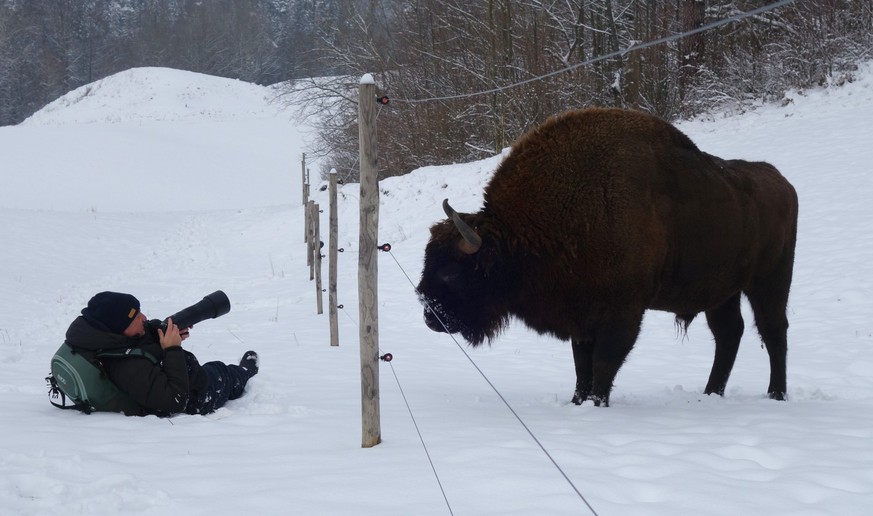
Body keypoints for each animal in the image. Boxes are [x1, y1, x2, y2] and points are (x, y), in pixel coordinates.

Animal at [416, 108, 796, 408]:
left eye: (451, 273)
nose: (430, 315)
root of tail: (781, 181)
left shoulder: (623, 311)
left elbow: (604, 362)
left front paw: (597, 404)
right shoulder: (581, 315)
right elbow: (581, 365)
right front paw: (577, 402)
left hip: (769, 281)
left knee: (773, 330)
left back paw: (776, 394)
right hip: (722, 292)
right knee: (730, 333)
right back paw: (710, 394)